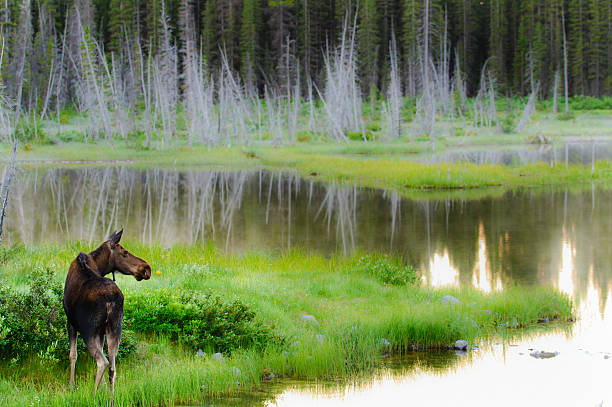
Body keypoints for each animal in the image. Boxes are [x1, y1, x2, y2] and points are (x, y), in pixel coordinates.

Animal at [62, 233, 151, 396]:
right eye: (125, 252)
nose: (147, 268)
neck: (99, 266)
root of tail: (111, 299)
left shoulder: (70, 322)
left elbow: (73, 354)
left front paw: (71, 385)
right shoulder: (101, 331)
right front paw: (103, 386)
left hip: (88, 330)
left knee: (102, 362)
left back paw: (93, 394)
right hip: (115, 328)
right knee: (112, 367)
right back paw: (111, 396)